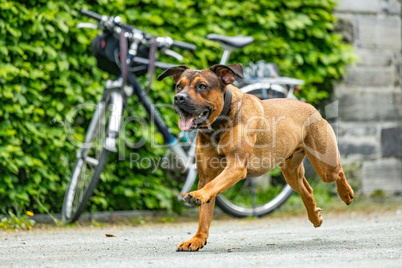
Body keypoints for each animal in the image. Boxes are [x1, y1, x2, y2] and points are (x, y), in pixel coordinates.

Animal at [158, 63, 354, 252]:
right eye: (178, 86)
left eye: (202, 86)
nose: (179, 98)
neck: (219, 124)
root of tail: (312, 108)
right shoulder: (206, 175)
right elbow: (205, 214)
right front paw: (198, 239)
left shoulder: (235, 167)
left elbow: (211, 188)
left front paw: (197, 195)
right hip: (291, 173)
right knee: (307, 190)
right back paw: (315, 217)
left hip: (325, 165)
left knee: (338, 171)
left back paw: (346, 194)